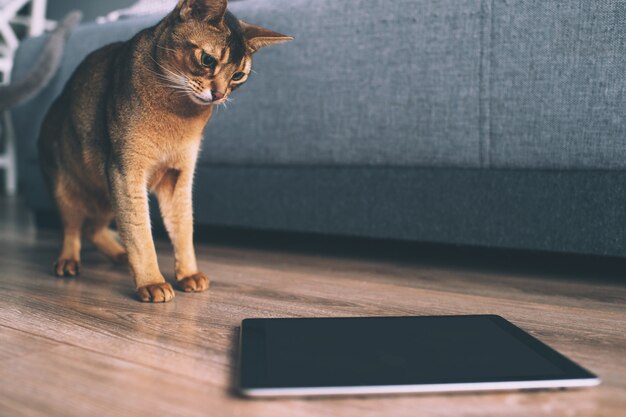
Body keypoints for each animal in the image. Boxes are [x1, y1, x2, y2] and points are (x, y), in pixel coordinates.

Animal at [37, 0, 292, 300]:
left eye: (238, 76)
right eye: (208, 60)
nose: (219, 95)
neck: (178, 112)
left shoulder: (178, 176)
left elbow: (183, 226)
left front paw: (189, 273)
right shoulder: (126, 173)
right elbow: (139, 232)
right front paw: (151, 282)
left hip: (106, 194)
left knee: (93, 228)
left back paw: (119, 255)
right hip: (66, 186)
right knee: (73, 227)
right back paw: (68, 261)